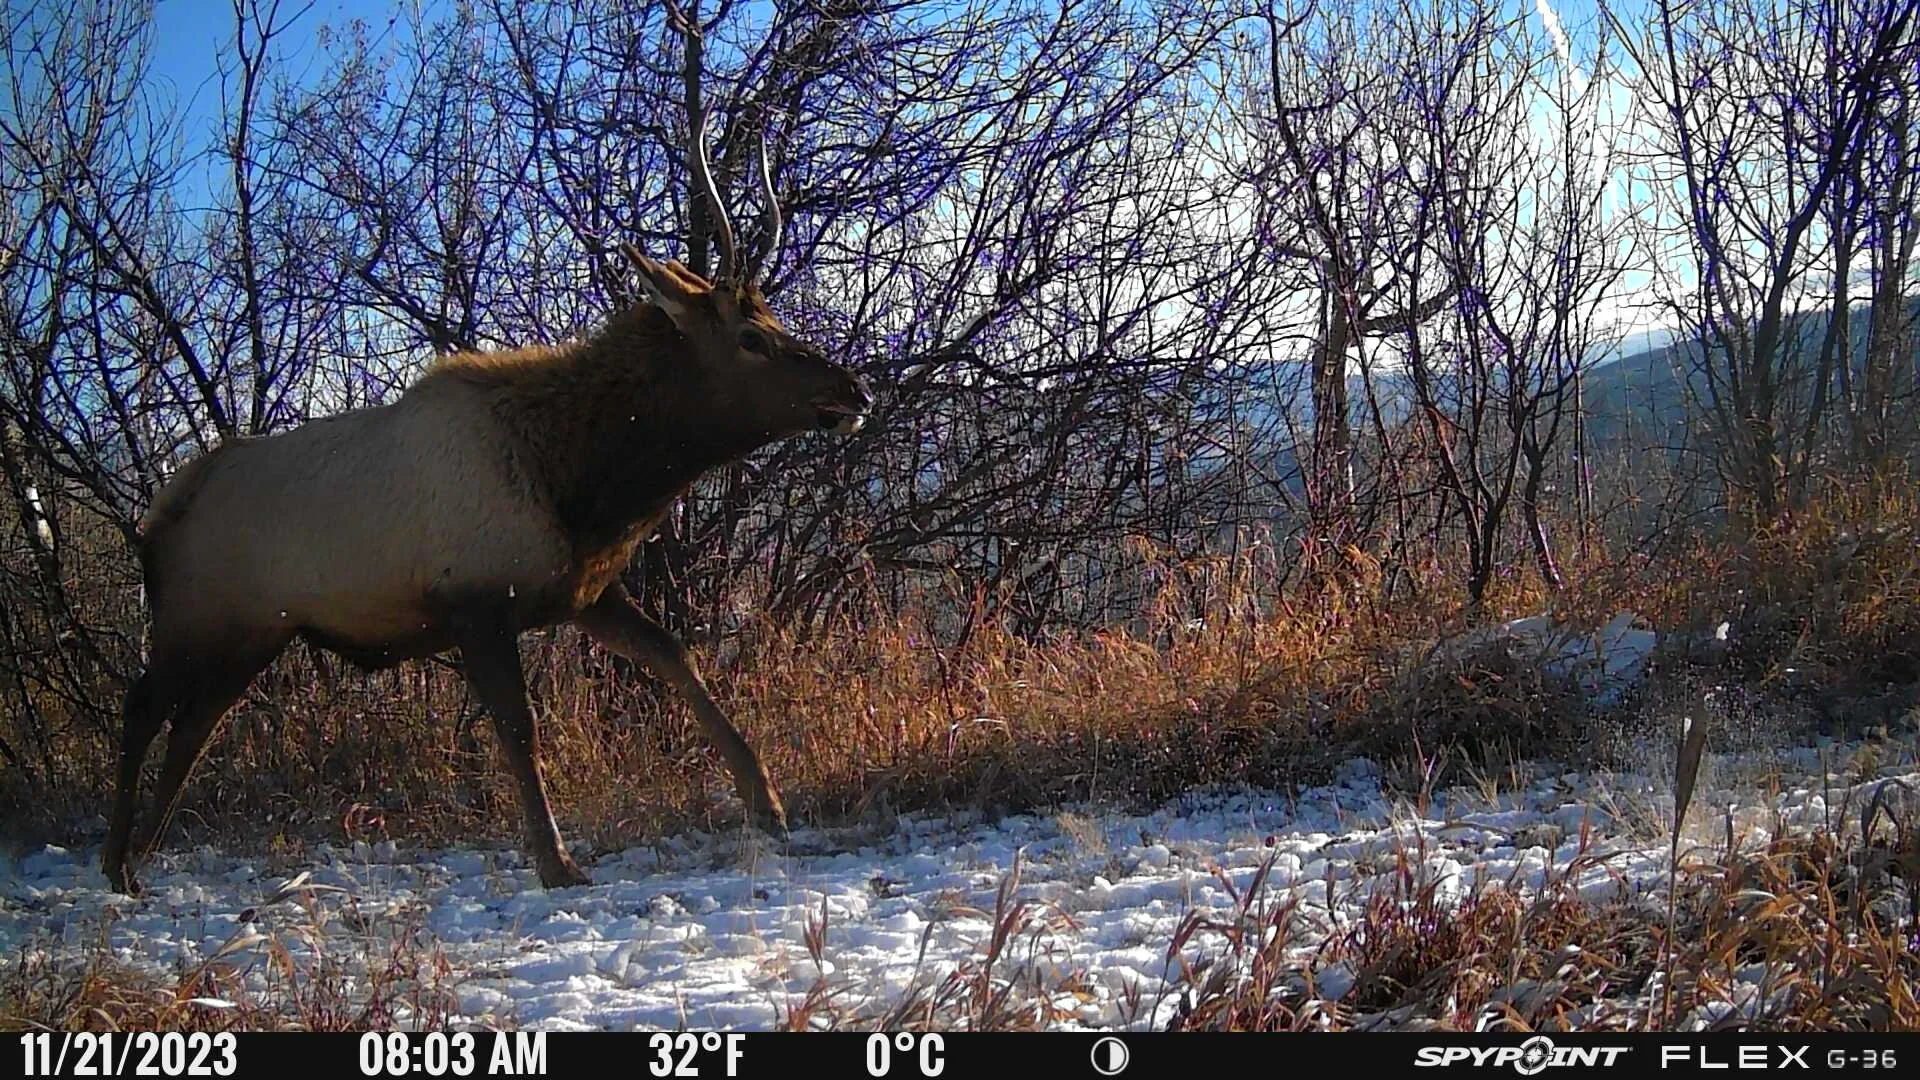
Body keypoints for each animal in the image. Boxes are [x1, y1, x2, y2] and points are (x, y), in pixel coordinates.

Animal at [101, 120, 872, 895]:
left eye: (771, 317)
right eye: (751, 337)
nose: (854, 390)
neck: (587, 485)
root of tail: (155, 520)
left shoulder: (582, 592)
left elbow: (674, 655)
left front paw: (766, 801)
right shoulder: (475, 602)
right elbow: (520, 727)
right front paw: (557, 862)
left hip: (256, 633)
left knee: (194, 723)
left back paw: (143, 852)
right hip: (200, 618)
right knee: (142, 708)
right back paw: (117, 863)